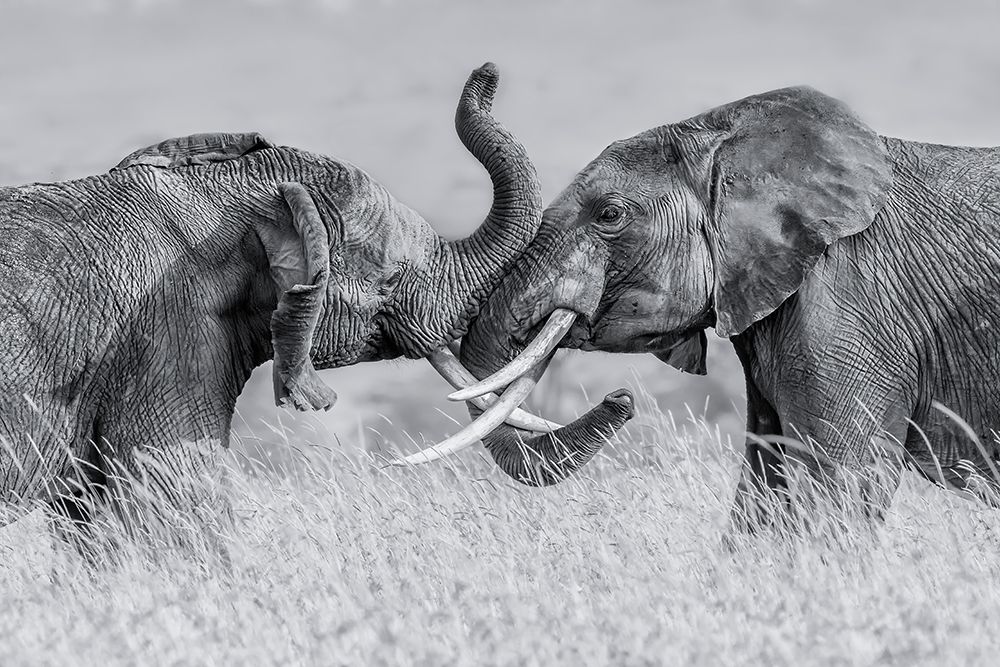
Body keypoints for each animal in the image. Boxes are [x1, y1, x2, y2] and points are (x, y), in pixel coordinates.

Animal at [404, 85, 1000, 525]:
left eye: (609, 214)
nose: (621, 399)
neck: (726, 137)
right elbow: (763, 487)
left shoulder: (849, 301)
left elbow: (840, 486)